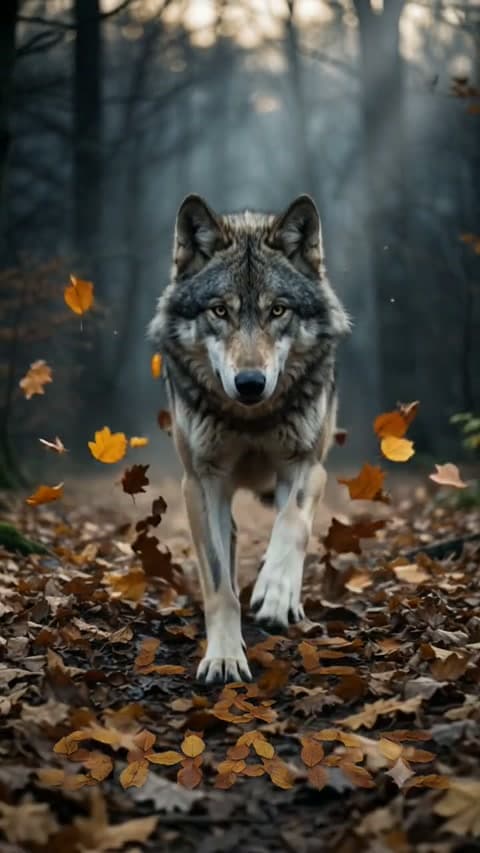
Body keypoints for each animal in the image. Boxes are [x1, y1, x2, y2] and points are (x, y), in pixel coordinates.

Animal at [149, 194, 350, 684]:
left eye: (278, 310)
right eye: (220, 310)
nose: (251, 383)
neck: (251, 419)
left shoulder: (307, 465)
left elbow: (292, 525)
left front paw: (275, 594)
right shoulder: (201, 483)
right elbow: (220, 586)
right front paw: (223, 656)